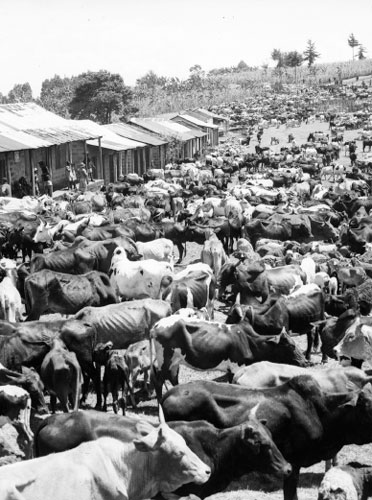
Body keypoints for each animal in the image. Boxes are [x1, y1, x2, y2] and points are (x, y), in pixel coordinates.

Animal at [150, 316, 306, 398]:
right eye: (291, 346)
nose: (305, 362)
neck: (250, 342)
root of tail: (157, 324)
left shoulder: (232, 370)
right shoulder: (236, 367)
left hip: (175, 361)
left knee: (173, 378)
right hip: (165, 359)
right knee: (158, 381)